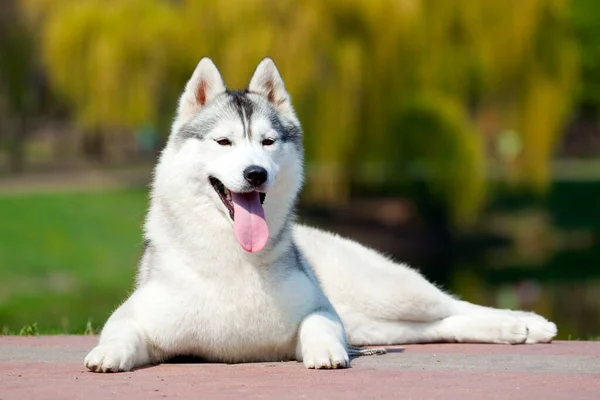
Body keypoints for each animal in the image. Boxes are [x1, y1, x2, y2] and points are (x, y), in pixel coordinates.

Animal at [84, 57, 556, 372]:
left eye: (268, 142)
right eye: (223, 142)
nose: (255, 173)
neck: (234, 259)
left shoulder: (322, 310)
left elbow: (320, 325)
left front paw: (325, 351)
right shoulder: (137, 315)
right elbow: (120, 330)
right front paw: (108, 352)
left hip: (385, 291)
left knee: (451, 302)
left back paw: (524, 323)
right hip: (374, 322)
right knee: (442, 323)